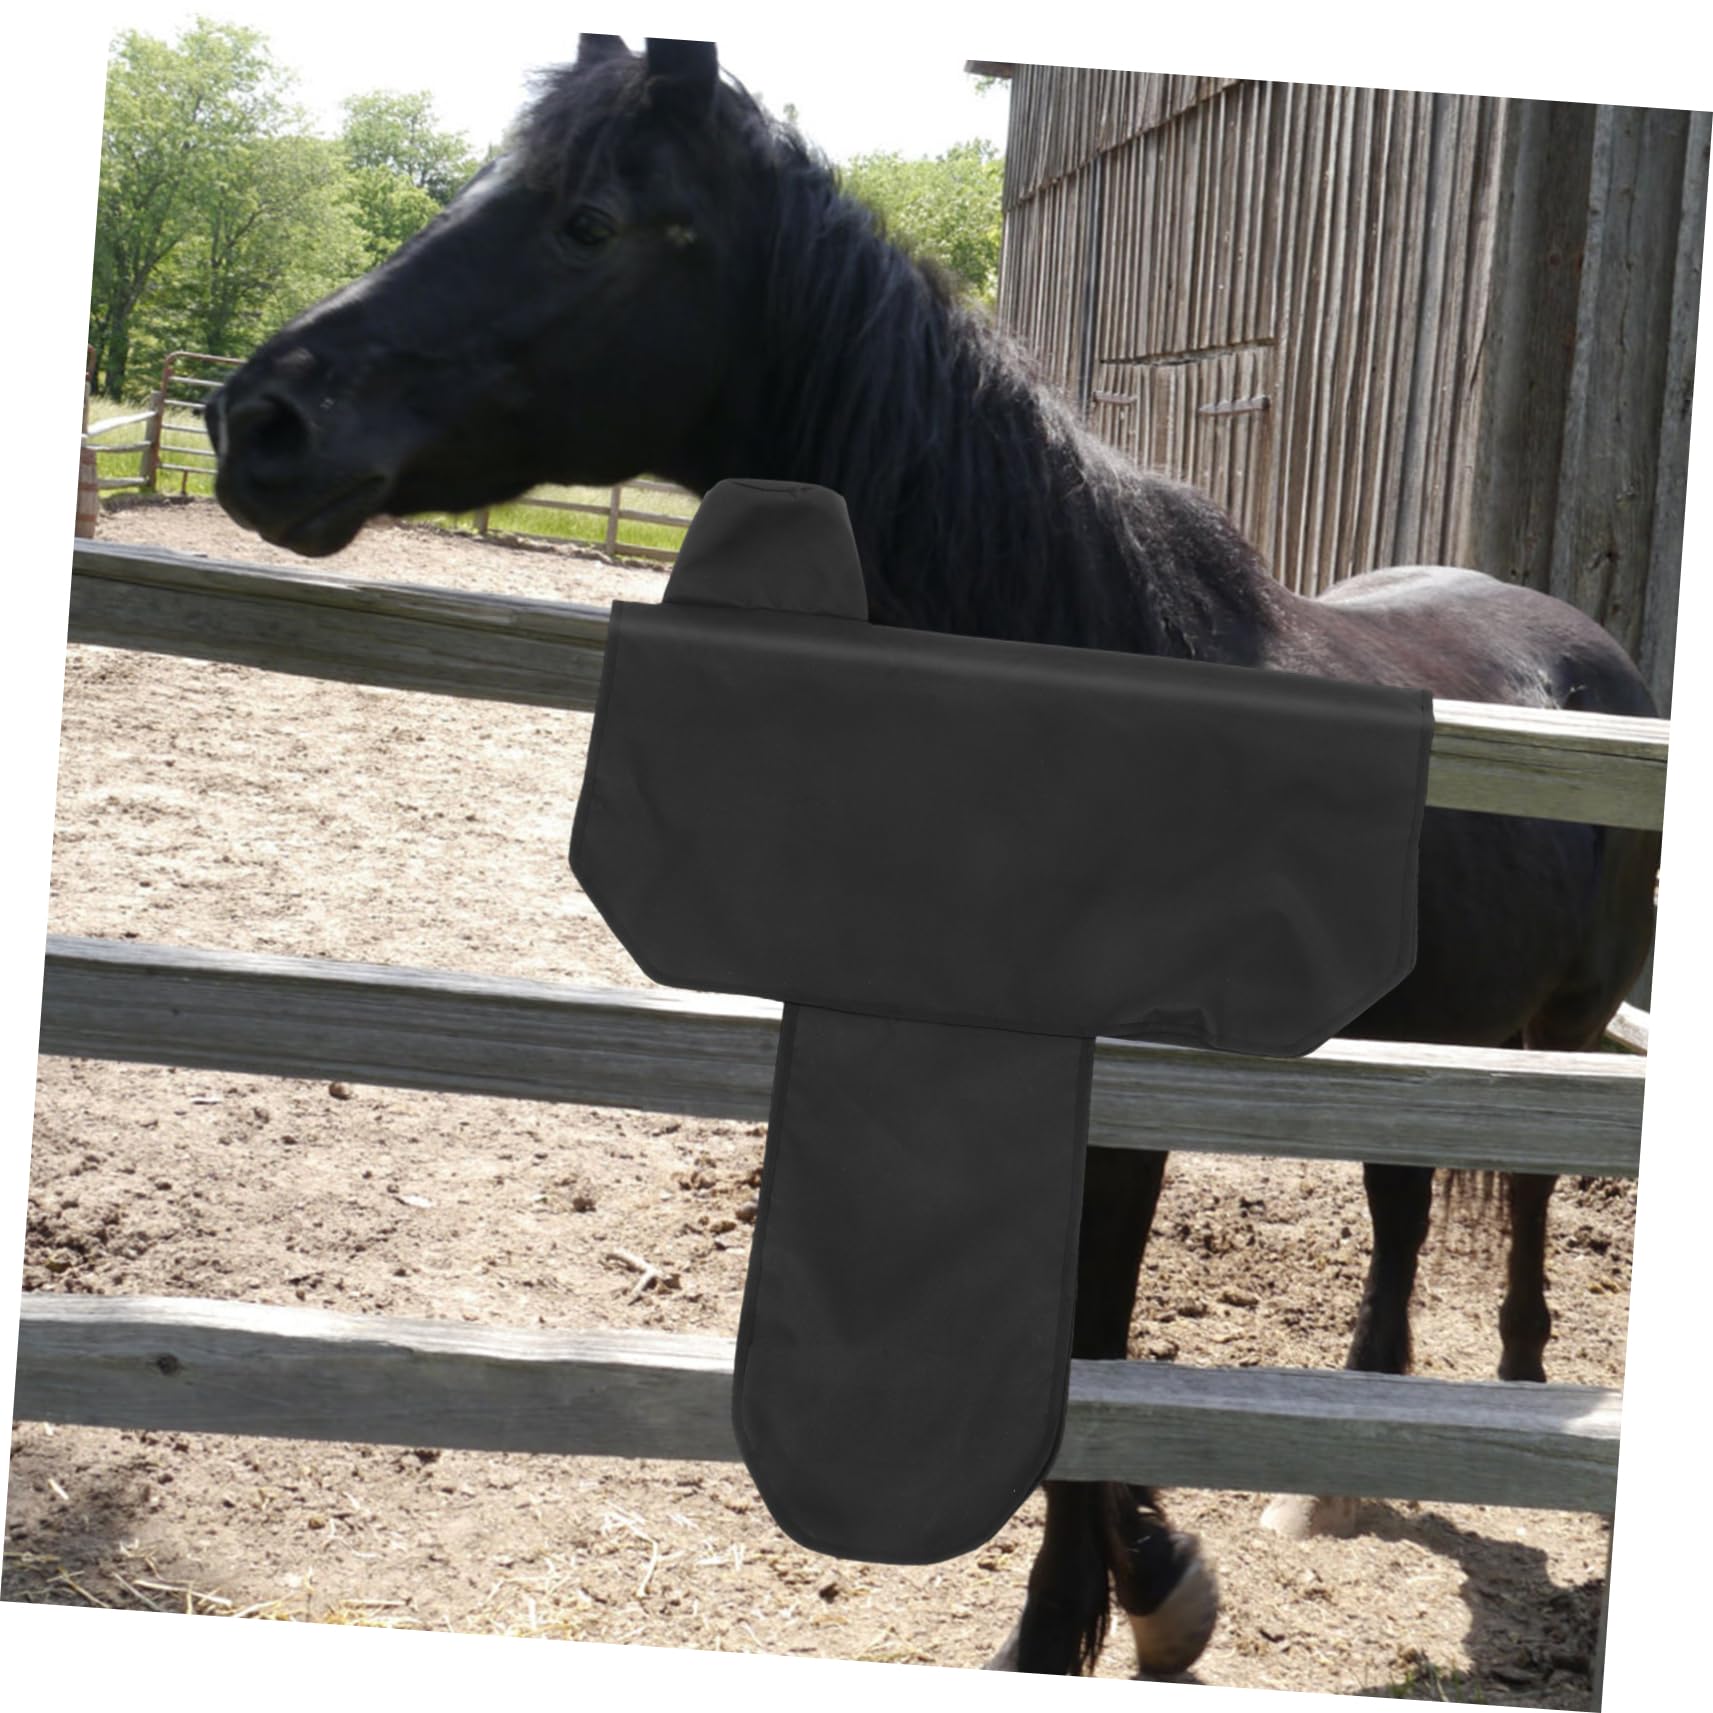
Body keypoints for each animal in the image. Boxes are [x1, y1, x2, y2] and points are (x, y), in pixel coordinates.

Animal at [205, 36, 1659, 1679]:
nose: (260, 420)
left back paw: (1518, 1392)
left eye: (587, 222)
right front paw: (1154, 1571)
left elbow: (1089, 1337)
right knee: (1406, 1203)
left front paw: (1085, 1617)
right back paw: (1341, 1466)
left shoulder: (1125, 1107)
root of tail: (1583, 646)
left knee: (1525, 1196)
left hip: (1560, 1028)